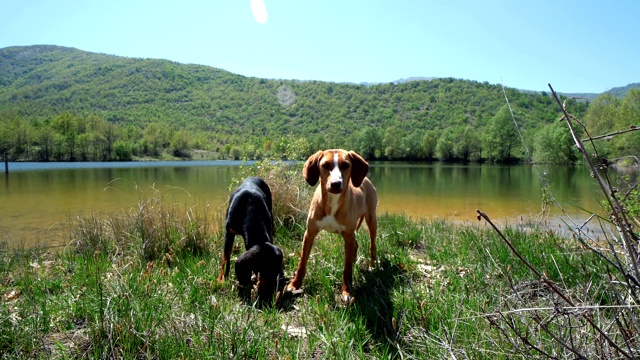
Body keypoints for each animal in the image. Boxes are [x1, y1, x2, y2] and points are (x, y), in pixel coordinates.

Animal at [284, 149, 376, 300]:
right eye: (325, 165)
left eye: (345, 165)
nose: (335, 184)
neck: (332, 202)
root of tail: (366, 179)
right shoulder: (309, 233)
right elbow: (302, 262)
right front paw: (294, 284)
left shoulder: (348, 235)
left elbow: (347, 269)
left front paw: (347, 292)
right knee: (356, 245)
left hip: (371, 219)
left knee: (372, 246)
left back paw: (373, 266)